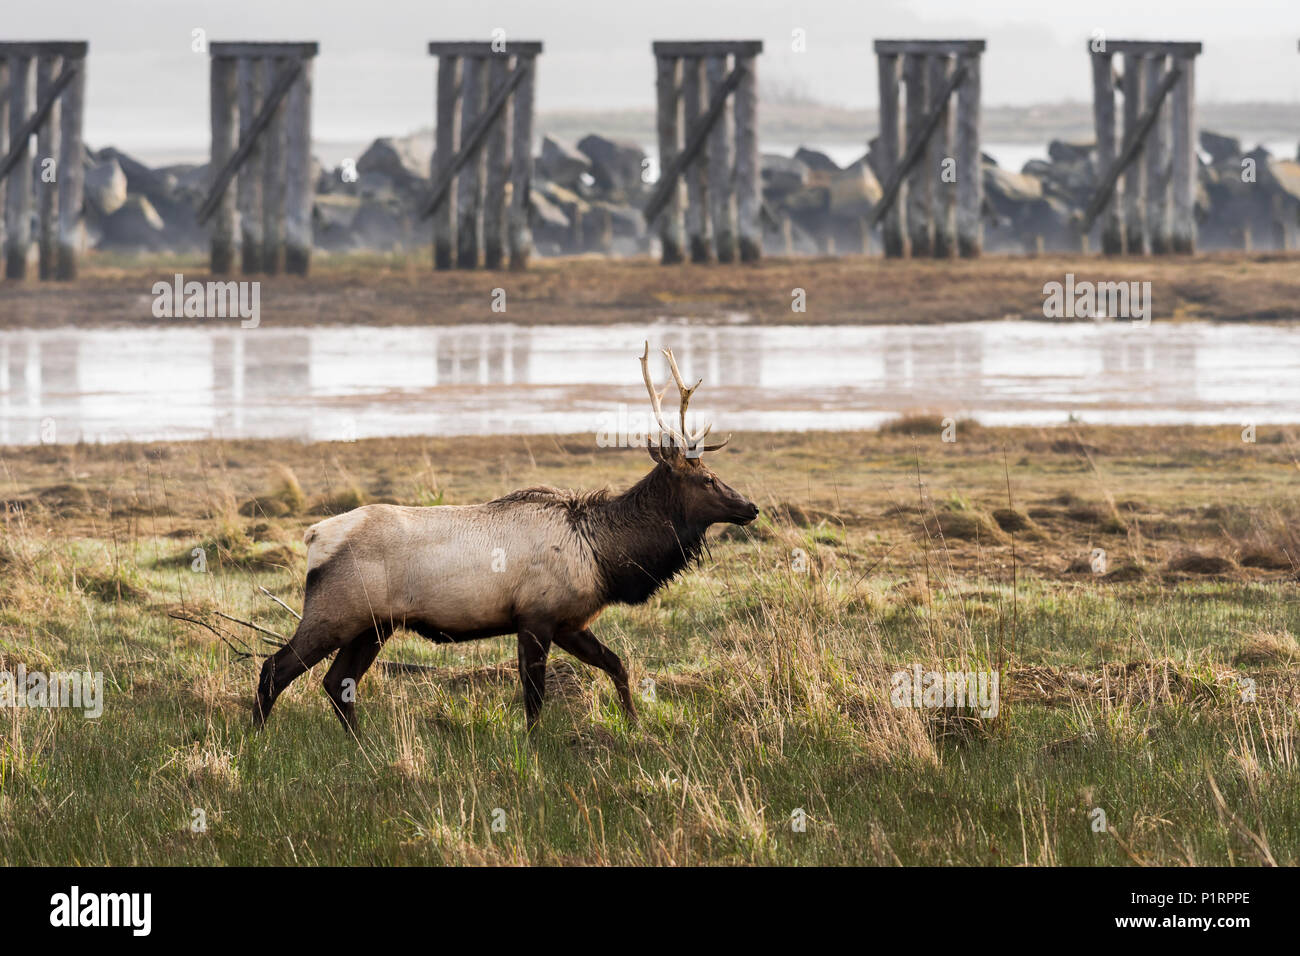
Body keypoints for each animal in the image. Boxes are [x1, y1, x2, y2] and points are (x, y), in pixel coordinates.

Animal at [250, 343, 759, 733]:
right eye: (708, 479)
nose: (750, 507)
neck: (604, 558)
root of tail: (314, 536)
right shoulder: (535, 615)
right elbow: (534, 699)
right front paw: (534, 749)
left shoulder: (569, 620)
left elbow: (617, 664)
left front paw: (634, 724)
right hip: (336, 612)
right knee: (275, 668)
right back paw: (257, 742)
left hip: (374, 625)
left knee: (337, 684)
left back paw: (360, 745)